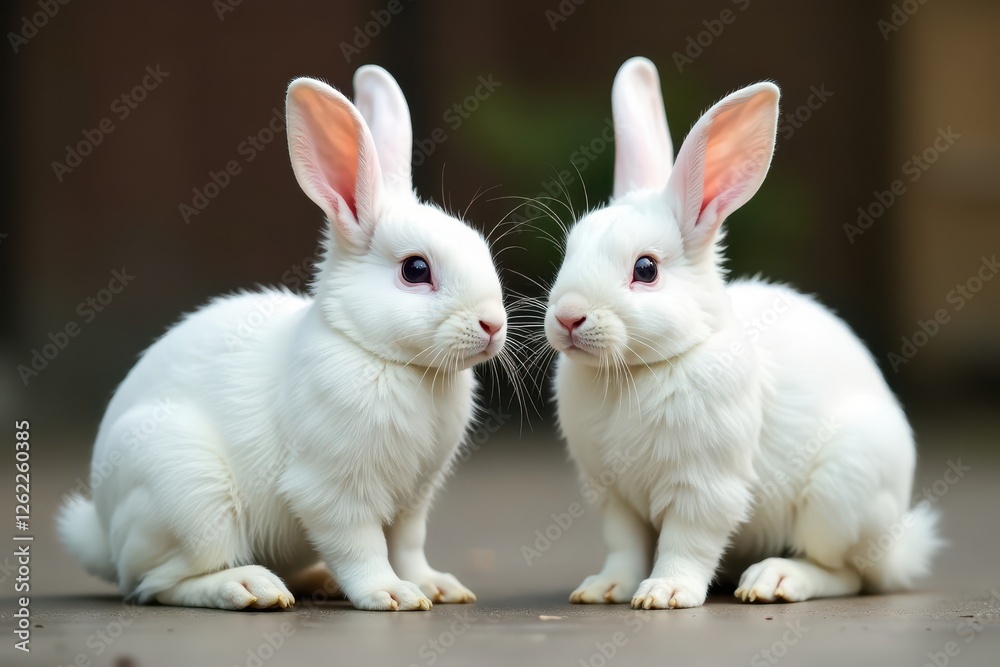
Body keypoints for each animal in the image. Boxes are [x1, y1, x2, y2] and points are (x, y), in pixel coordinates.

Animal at [57, 65, 508, 612]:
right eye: (415, 270)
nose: (493, 325)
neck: (381, 355)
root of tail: (103, 532)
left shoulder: (412, 501)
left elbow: (407, 546)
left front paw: (435, 587)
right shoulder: (332, 491)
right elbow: (362, 548)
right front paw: (391, 594)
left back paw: (319, 580)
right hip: (191, 495)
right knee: (159, 582)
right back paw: (250, 587)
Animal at [544, 57, 941, 609]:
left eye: (646, 269)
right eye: (570, 249)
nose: (567, 317)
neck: (642, 368)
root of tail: (896, 547)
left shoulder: (706, 488)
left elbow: (686, 543)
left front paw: (665, 593)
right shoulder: (614, 496)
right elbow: (624, 547)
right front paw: (605, 588)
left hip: (840, 495)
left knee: (843, 573)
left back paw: (774, 580)